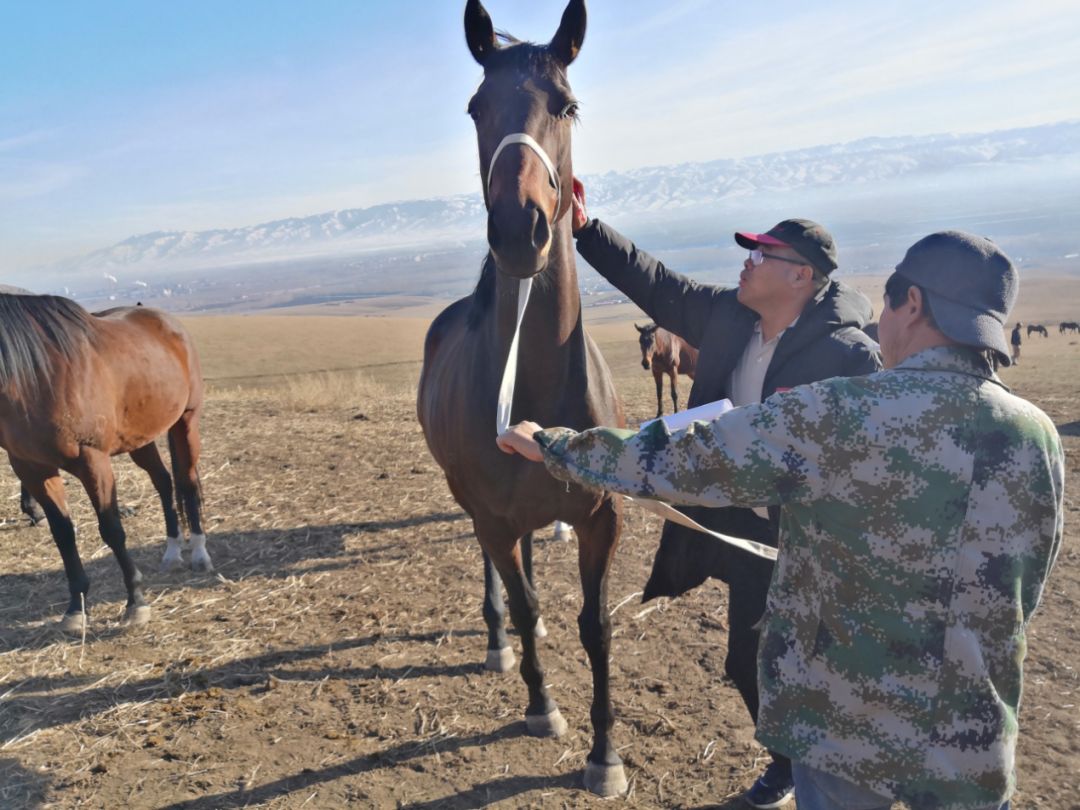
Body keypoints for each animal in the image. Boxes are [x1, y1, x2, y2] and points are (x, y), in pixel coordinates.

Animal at [0, 291, 210, 635]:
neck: (34, 377)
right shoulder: (32, 468)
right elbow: (63, 535)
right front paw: (76, 608)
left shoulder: (92, 460)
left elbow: (111, 529)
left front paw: (136, 602)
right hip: (140, 438)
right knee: (164, 482)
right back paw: (172, 549)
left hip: (186, 422)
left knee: (187, 483)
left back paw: (199, 553)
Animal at [416, 0, 630, 799]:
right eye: (477, 108)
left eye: (566, 105)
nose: (518, 229)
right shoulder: (493, 514)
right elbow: (526, 591)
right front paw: (542, 705)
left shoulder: (602, 517)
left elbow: (596, 626)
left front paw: (607, 755)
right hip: (476, 505)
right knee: (497, 567)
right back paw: (503, 639)